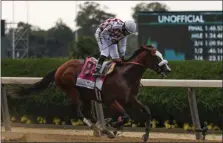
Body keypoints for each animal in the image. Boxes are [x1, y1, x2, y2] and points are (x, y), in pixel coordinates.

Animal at [12, 44, 171, 142]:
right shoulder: (110, 100)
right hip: (72, 91)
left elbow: (147, 112)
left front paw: (145, 135)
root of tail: (60, 67)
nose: (167, 69)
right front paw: (113, 125)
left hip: (86, 96)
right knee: (80, 112)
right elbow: (125, 116)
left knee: (88, 112)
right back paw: (98, 127)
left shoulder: (130, 99)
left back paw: (102, 129)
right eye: (156, 56)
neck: (125, 75)